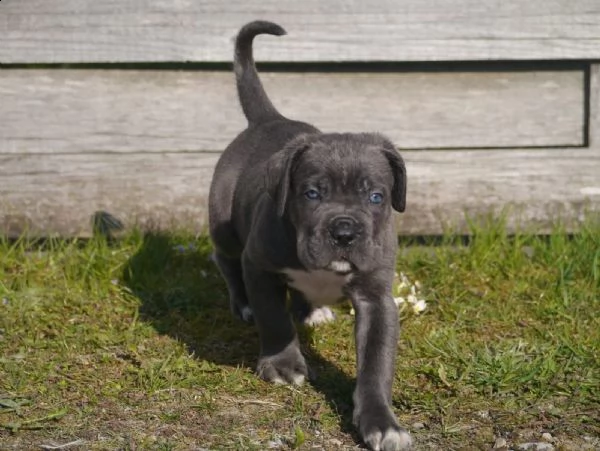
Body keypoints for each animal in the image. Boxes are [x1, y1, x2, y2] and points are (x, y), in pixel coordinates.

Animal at [209, 20, 410, 451]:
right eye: (312, 194)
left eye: (376, 197)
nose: (345, 231)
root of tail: (268, 120)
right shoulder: (260, 265)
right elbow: (273, 318)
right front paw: (283, 365)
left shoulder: (376, 298)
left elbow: (376, 364)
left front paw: (381, 422)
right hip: (224, 226)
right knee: (225, 260)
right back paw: (243, 304)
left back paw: (312, 309)